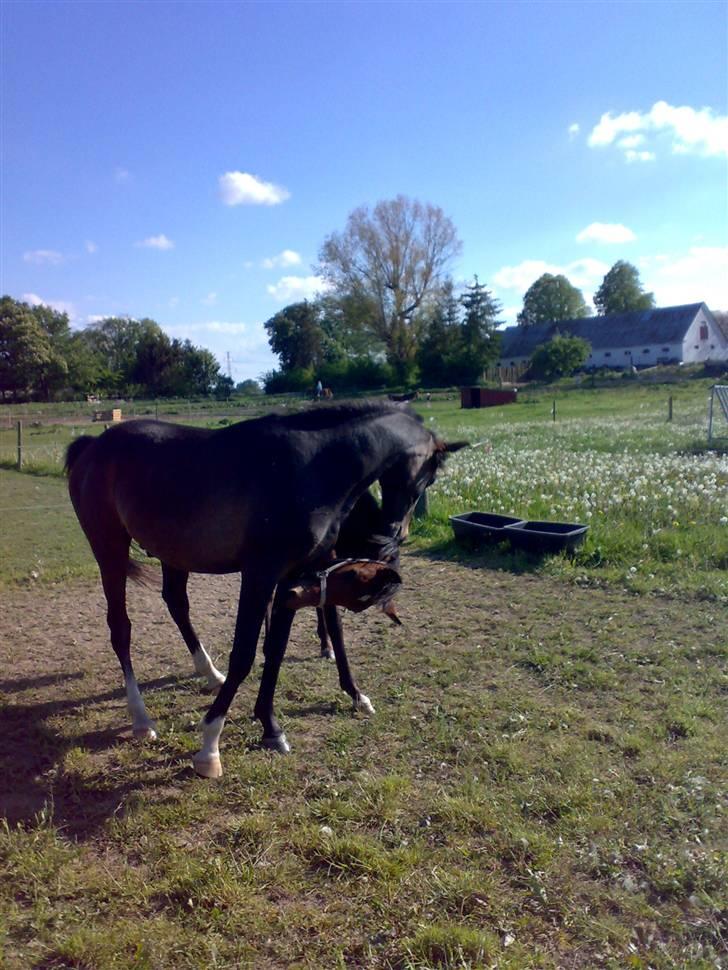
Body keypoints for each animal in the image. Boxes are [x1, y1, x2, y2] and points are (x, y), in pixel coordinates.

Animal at [67, 398, 460, 772]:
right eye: (428, 479)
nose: (394, 537)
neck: (313, 469)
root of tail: (93, 446)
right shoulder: (259, 575)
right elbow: (244, 654)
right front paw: (210, 744)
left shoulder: (292, 578)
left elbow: (277, 650)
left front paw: (271, 727)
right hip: (110, 550)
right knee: (121, 629)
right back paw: (141, 719)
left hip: (173, 554)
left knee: (176, 603)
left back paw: (209, 673)